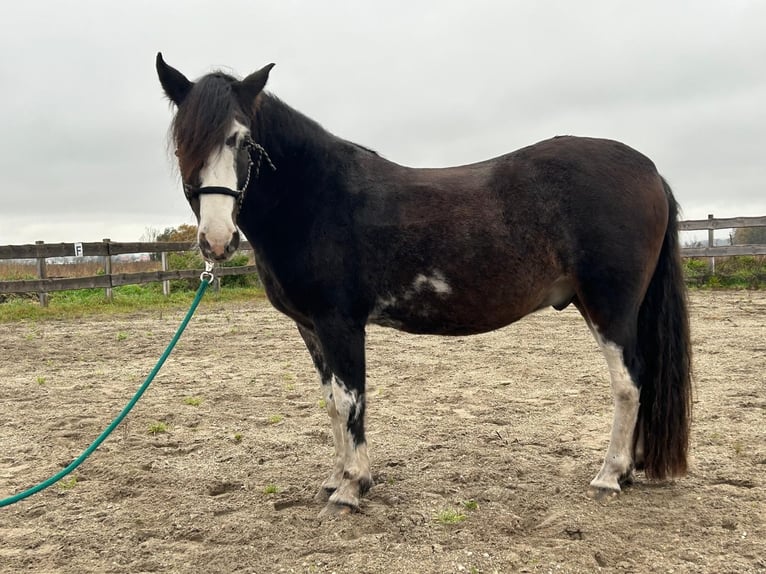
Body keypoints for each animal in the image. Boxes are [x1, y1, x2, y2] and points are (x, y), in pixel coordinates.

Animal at [158, 51, 696, 516]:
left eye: (241, 140)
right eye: (183, 141)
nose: (217, 240)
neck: (317, 197)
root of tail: (649, 170)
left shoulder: (340, 323)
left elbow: (351, 400)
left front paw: (352, 489)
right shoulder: (309, 327)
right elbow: (332, 403)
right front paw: (335, 479)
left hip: (610, 306)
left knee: (629, 383)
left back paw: (609, 476)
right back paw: (628, 471)